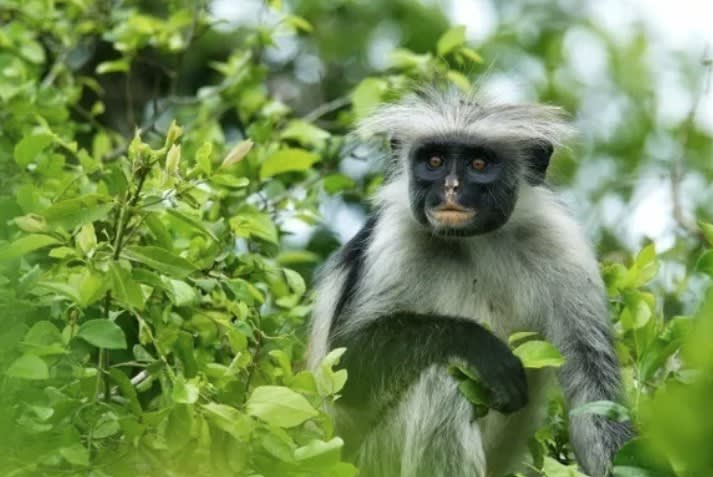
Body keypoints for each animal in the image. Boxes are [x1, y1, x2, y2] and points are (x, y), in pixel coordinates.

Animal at [308, 86, 632, 476]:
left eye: (479, 164)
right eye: (434, 161)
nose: (450, 187)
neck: (475, 242)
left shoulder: (563, 248)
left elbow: (594, 393)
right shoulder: (393, 238)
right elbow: (343, 367)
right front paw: (478, 345)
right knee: (443, 379)